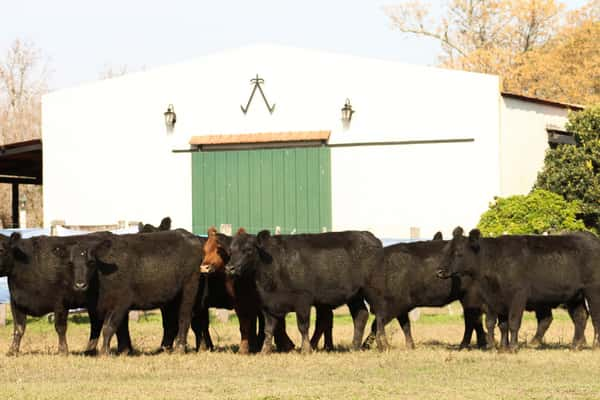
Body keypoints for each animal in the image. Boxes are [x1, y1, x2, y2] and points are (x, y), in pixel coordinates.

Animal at [0, 233, 130, 354]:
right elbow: (19, 328)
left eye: (1, 249)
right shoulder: (16, 302)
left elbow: (60, 327)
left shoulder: (60, 303)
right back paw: (124, 350)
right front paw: (12, 351)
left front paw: (63, 351)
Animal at [69, 230, 203, 354]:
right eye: (71, 263)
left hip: (189, 290)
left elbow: (109, 327)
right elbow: (120, 330)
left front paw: (105, 352)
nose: (80, 285)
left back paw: (179, 348)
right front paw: (124, 350)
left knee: (184, 318)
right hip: (170, 299)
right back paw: (163, 349)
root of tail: (188, 236)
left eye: (91, 262)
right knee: (170, 324)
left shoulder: (120, 303)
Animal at [226, 230, 390, 352]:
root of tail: (371, 238)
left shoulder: (303, 300)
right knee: (361, 315)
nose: (229, 268)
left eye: (248, 250)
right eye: (231, 251)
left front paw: (306, 349)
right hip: (355, 295)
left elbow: (303, 325)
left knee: (380, 314)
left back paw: (383, 344)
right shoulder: (268, 304)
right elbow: (268, 329)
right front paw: (264, 351)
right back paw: (354, 346)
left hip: (373, 289)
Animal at [436, 228, 596, 350]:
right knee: (580, 316)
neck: (494, 260)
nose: (439, 271)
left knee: (594, 316)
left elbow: (513, 322)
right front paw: (500, 347)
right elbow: (497, 324)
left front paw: (512, 347)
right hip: (575, 296)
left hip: (593, 290)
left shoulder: (518, 296)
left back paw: (595, 344)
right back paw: (575, 345)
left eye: (458, 252)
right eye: (445, 250)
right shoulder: (493, 299)